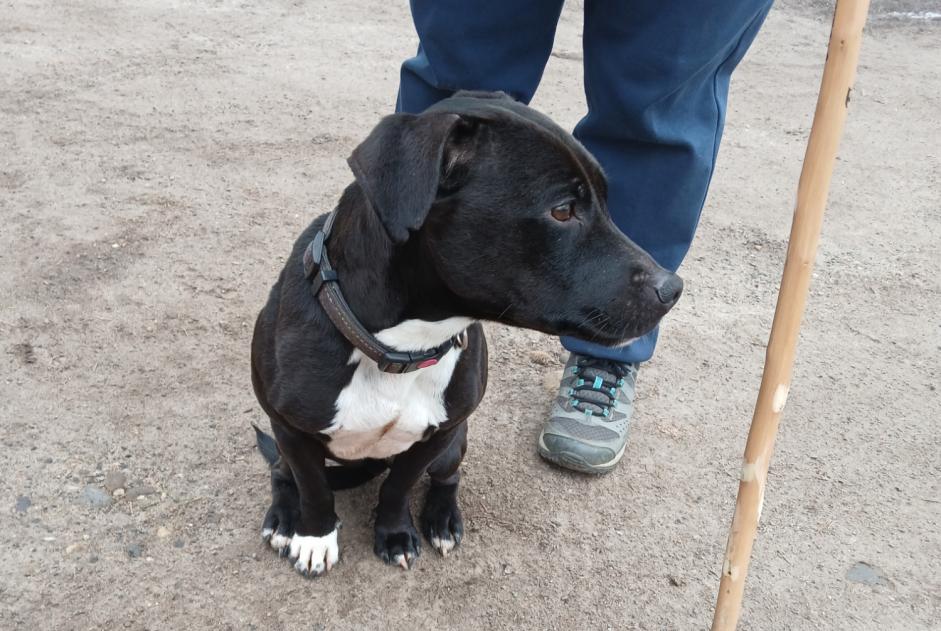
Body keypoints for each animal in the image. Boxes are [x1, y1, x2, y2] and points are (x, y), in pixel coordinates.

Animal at [250, 90, 680, 576]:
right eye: (563, 211)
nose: (672, 288)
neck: (398, 348)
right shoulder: (291, 430)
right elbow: (315, 488)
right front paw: (315, 536)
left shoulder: (438, 434)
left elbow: (398, 487)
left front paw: (395, 533)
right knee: (282, 473)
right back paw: (284, 518)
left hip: (455, 445)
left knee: (446, 478)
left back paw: (441, 519)